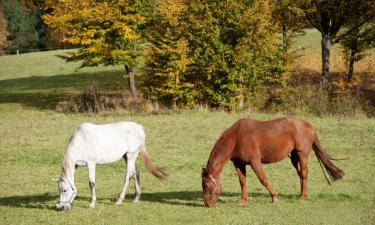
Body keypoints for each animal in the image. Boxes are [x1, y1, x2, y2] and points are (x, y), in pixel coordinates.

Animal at [201, 117, 346, 207]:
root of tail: (309, 125)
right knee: (300, 174)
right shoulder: (239, 163)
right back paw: (302, 193)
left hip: (302, 155)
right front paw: (243, 200)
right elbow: (242, 182)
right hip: (294, 157)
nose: (207, 204)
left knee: (304, 174)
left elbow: (263, 179)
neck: (237, 138)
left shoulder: (255, 161)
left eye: (206, 185)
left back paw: (302, 196)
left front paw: (274, 197)